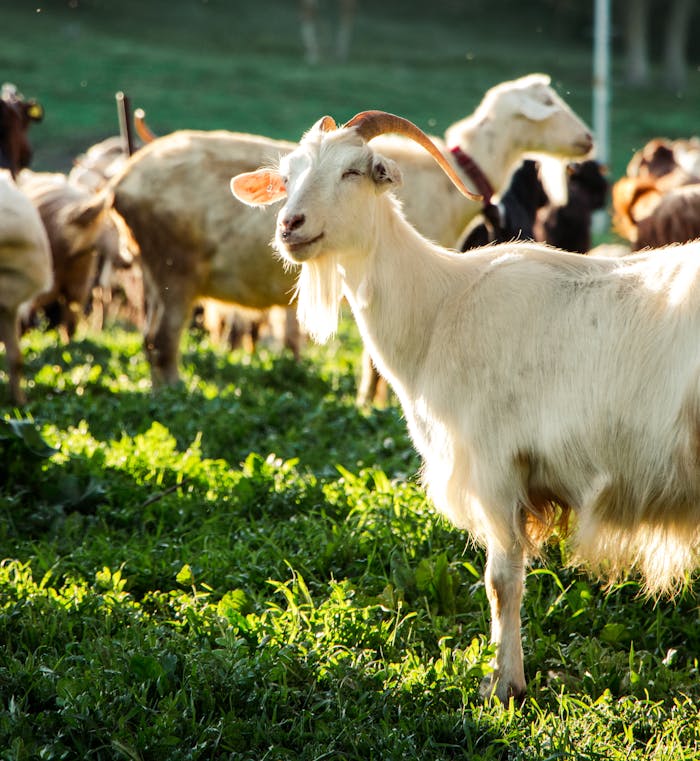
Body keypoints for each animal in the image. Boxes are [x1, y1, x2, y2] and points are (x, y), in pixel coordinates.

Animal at [232, 110, 700, 704]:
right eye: (288, 176)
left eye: (354, 170)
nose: (290, 226)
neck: (440, 308)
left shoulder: (496, 466)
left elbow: (501, 582)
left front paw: (504, 687)